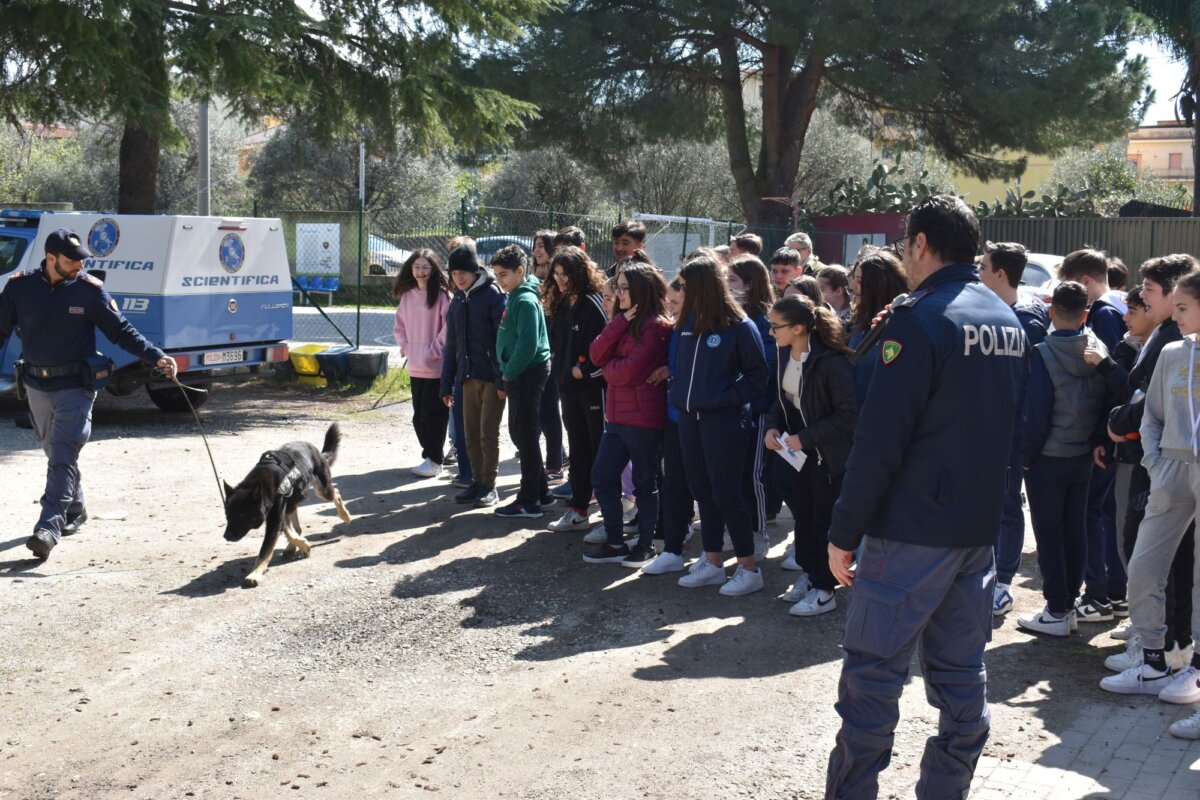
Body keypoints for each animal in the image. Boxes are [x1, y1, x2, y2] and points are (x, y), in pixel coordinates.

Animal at [223, 424, 350, 587]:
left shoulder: (275, 519)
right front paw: (303, 545)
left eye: (240, 516)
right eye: (227, 516)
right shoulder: (279, 514)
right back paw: (293, 547)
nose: (226, 537)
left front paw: (255, 573)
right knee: (297, 526)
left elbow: (265, 550)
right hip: (293, 502)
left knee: (336, 493)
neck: (264, 487)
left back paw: (345, 515)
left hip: (323, 490)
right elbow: (290, 532)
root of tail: (315, 450)